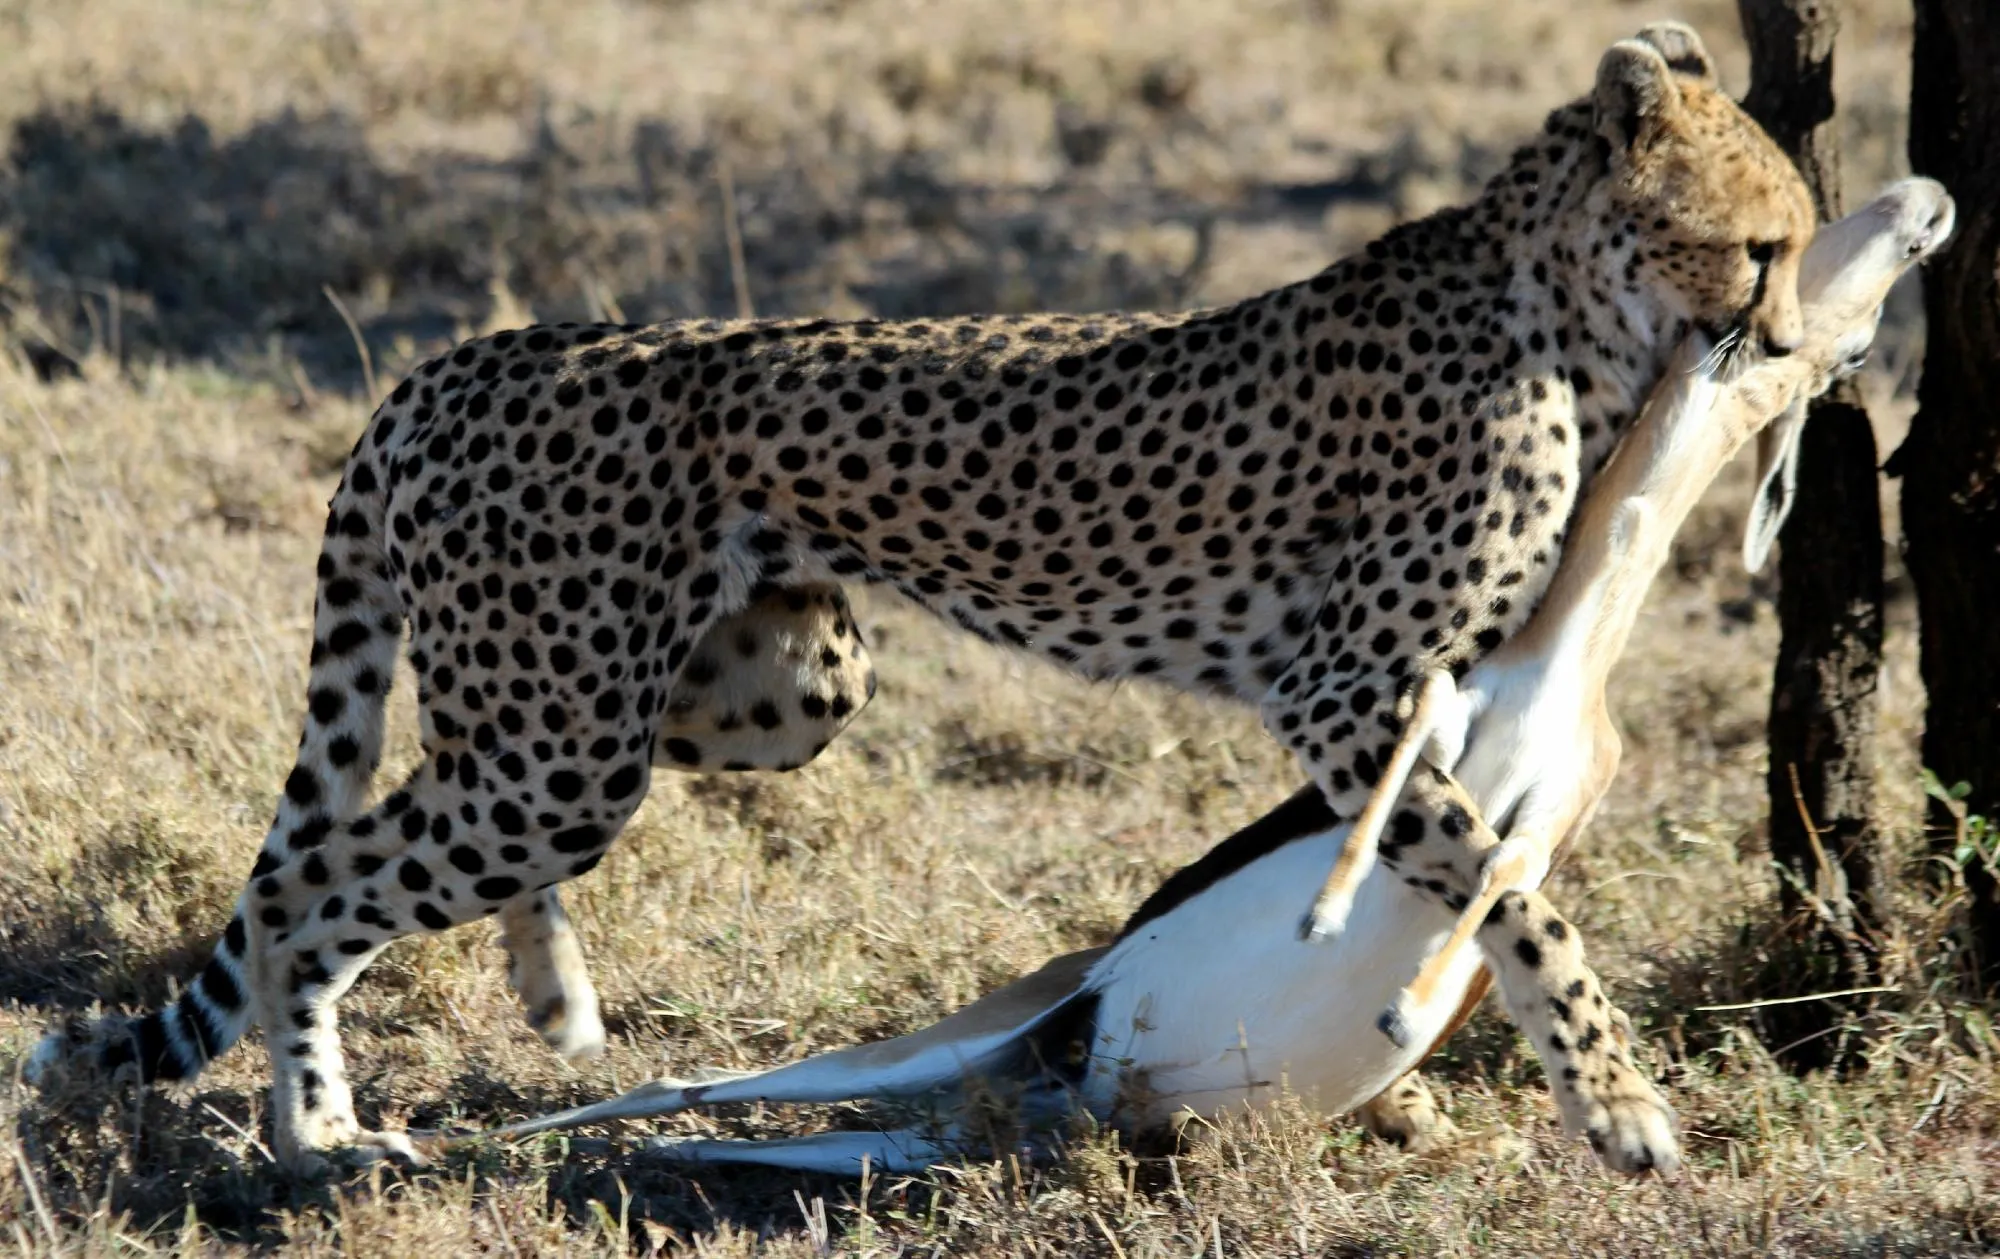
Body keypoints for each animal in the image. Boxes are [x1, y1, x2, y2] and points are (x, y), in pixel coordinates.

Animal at [31, 23, 1814, 1175]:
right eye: (1762, 244)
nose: (1792, 342)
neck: (1551, 294)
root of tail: (487, 346)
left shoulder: (1419, 678)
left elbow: (1500, 847)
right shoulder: (1343, 686)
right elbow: (1513, 882)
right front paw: (1619, 1101)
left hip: (765, 687)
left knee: (404, 813)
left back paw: (535, 987)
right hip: (570, 739)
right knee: (310, 871)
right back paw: (313, 1132)